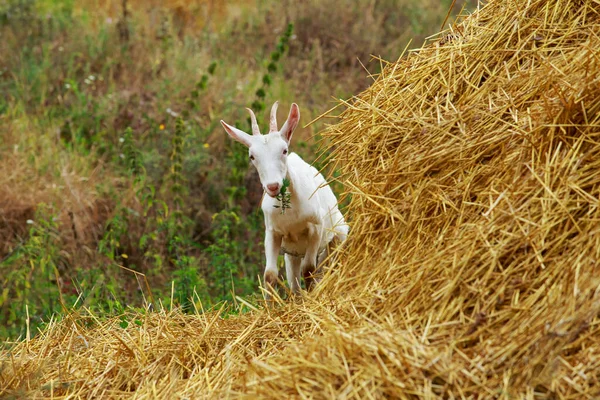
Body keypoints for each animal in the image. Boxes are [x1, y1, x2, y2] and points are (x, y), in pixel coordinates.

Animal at [221, 101, 350, 296]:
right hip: (292, 255)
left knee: (324, 269)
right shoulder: (272, 233)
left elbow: (309, 270)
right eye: (252, 156)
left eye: (284, 150)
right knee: (295, 281)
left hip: (337, 237)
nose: (273, 186)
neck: (291, 213)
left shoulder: (316, 228)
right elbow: (269, 275)